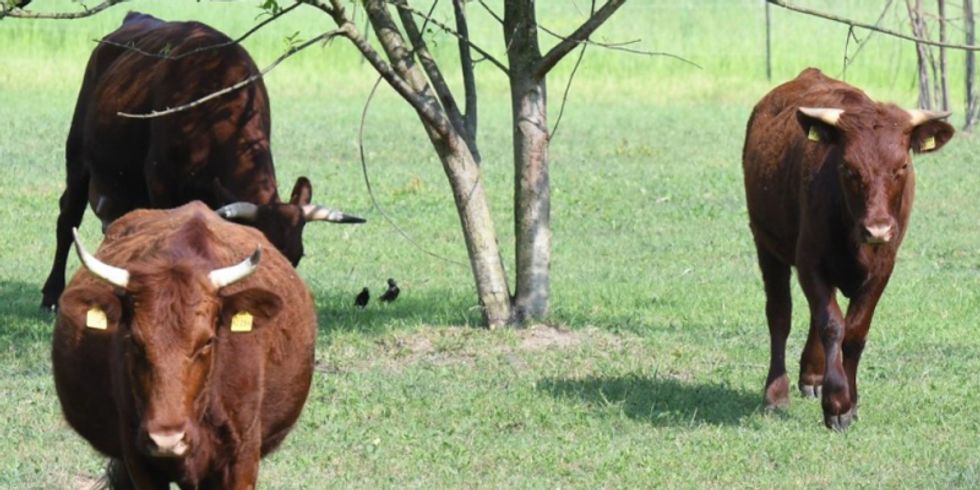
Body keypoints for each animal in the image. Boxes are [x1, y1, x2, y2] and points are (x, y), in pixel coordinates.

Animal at [740, 68, 952, 428]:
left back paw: (812, 376)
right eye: (848, 168)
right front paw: (836, 402)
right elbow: (832, 324)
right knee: (780, 314)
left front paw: (849, 402)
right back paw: (776, 393)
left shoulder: (882, 267)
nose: (877, 228)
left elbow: (853, 331)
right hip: (766, 244)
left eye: (902, 167)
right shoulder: (810, 261)